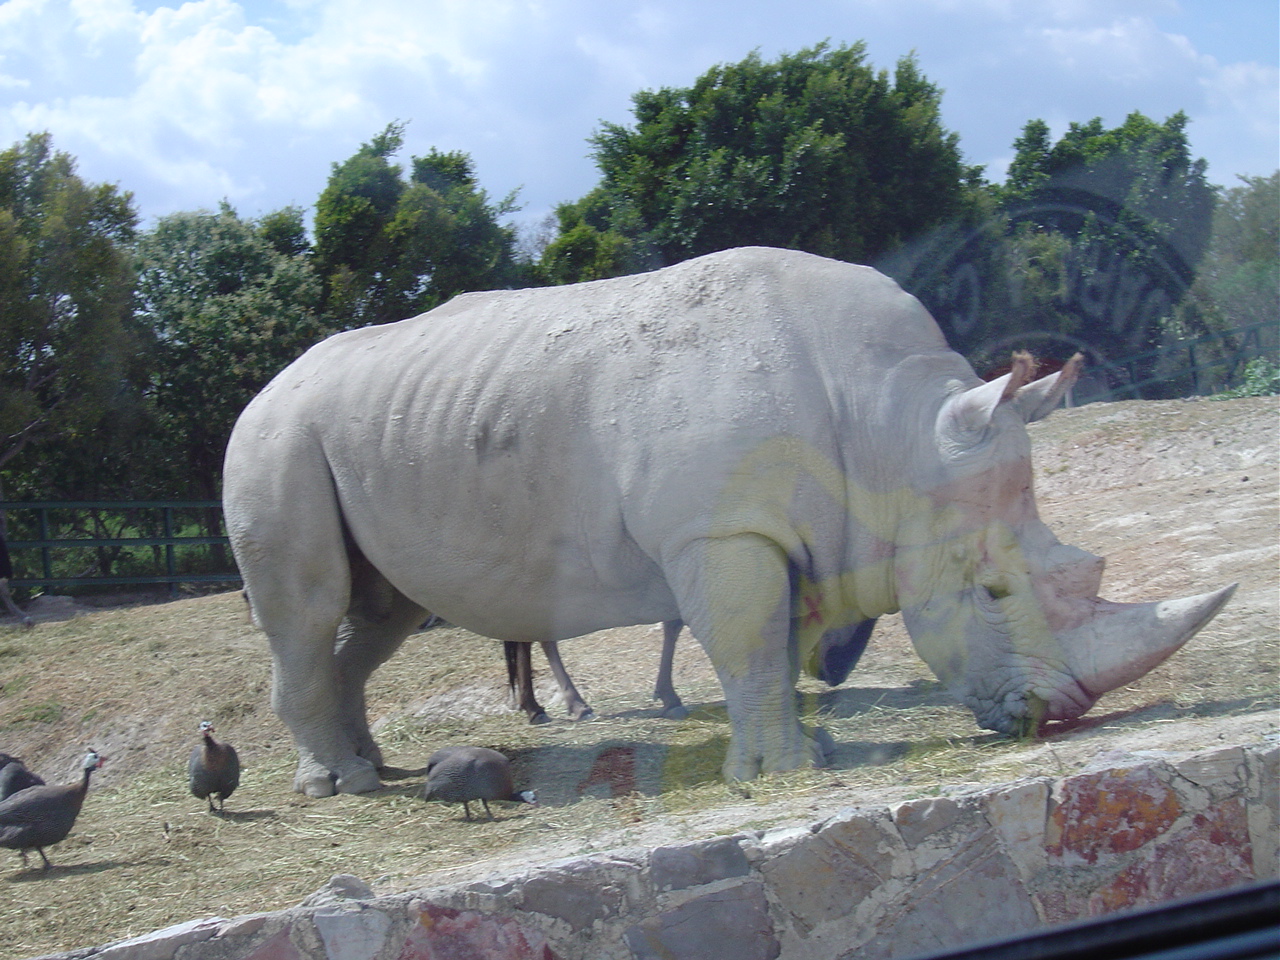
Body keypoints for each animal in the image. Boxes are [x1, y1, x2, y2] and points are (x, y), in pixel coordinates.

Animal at [222, 246, 1234, 797]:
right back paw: (341, 786)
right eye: (987, 592)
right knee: (309, 610)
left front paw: (801, 755)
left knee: (377, 611)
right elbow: (750, 640)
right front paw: (784, 774)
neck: (896, 435)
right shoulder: (722, 531)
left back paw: (374, 763)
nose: (1054, 717)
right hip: (272, 441)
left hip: (349, 436)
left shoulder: (784, 534)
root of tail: (264, 386)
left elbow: (774, 647)